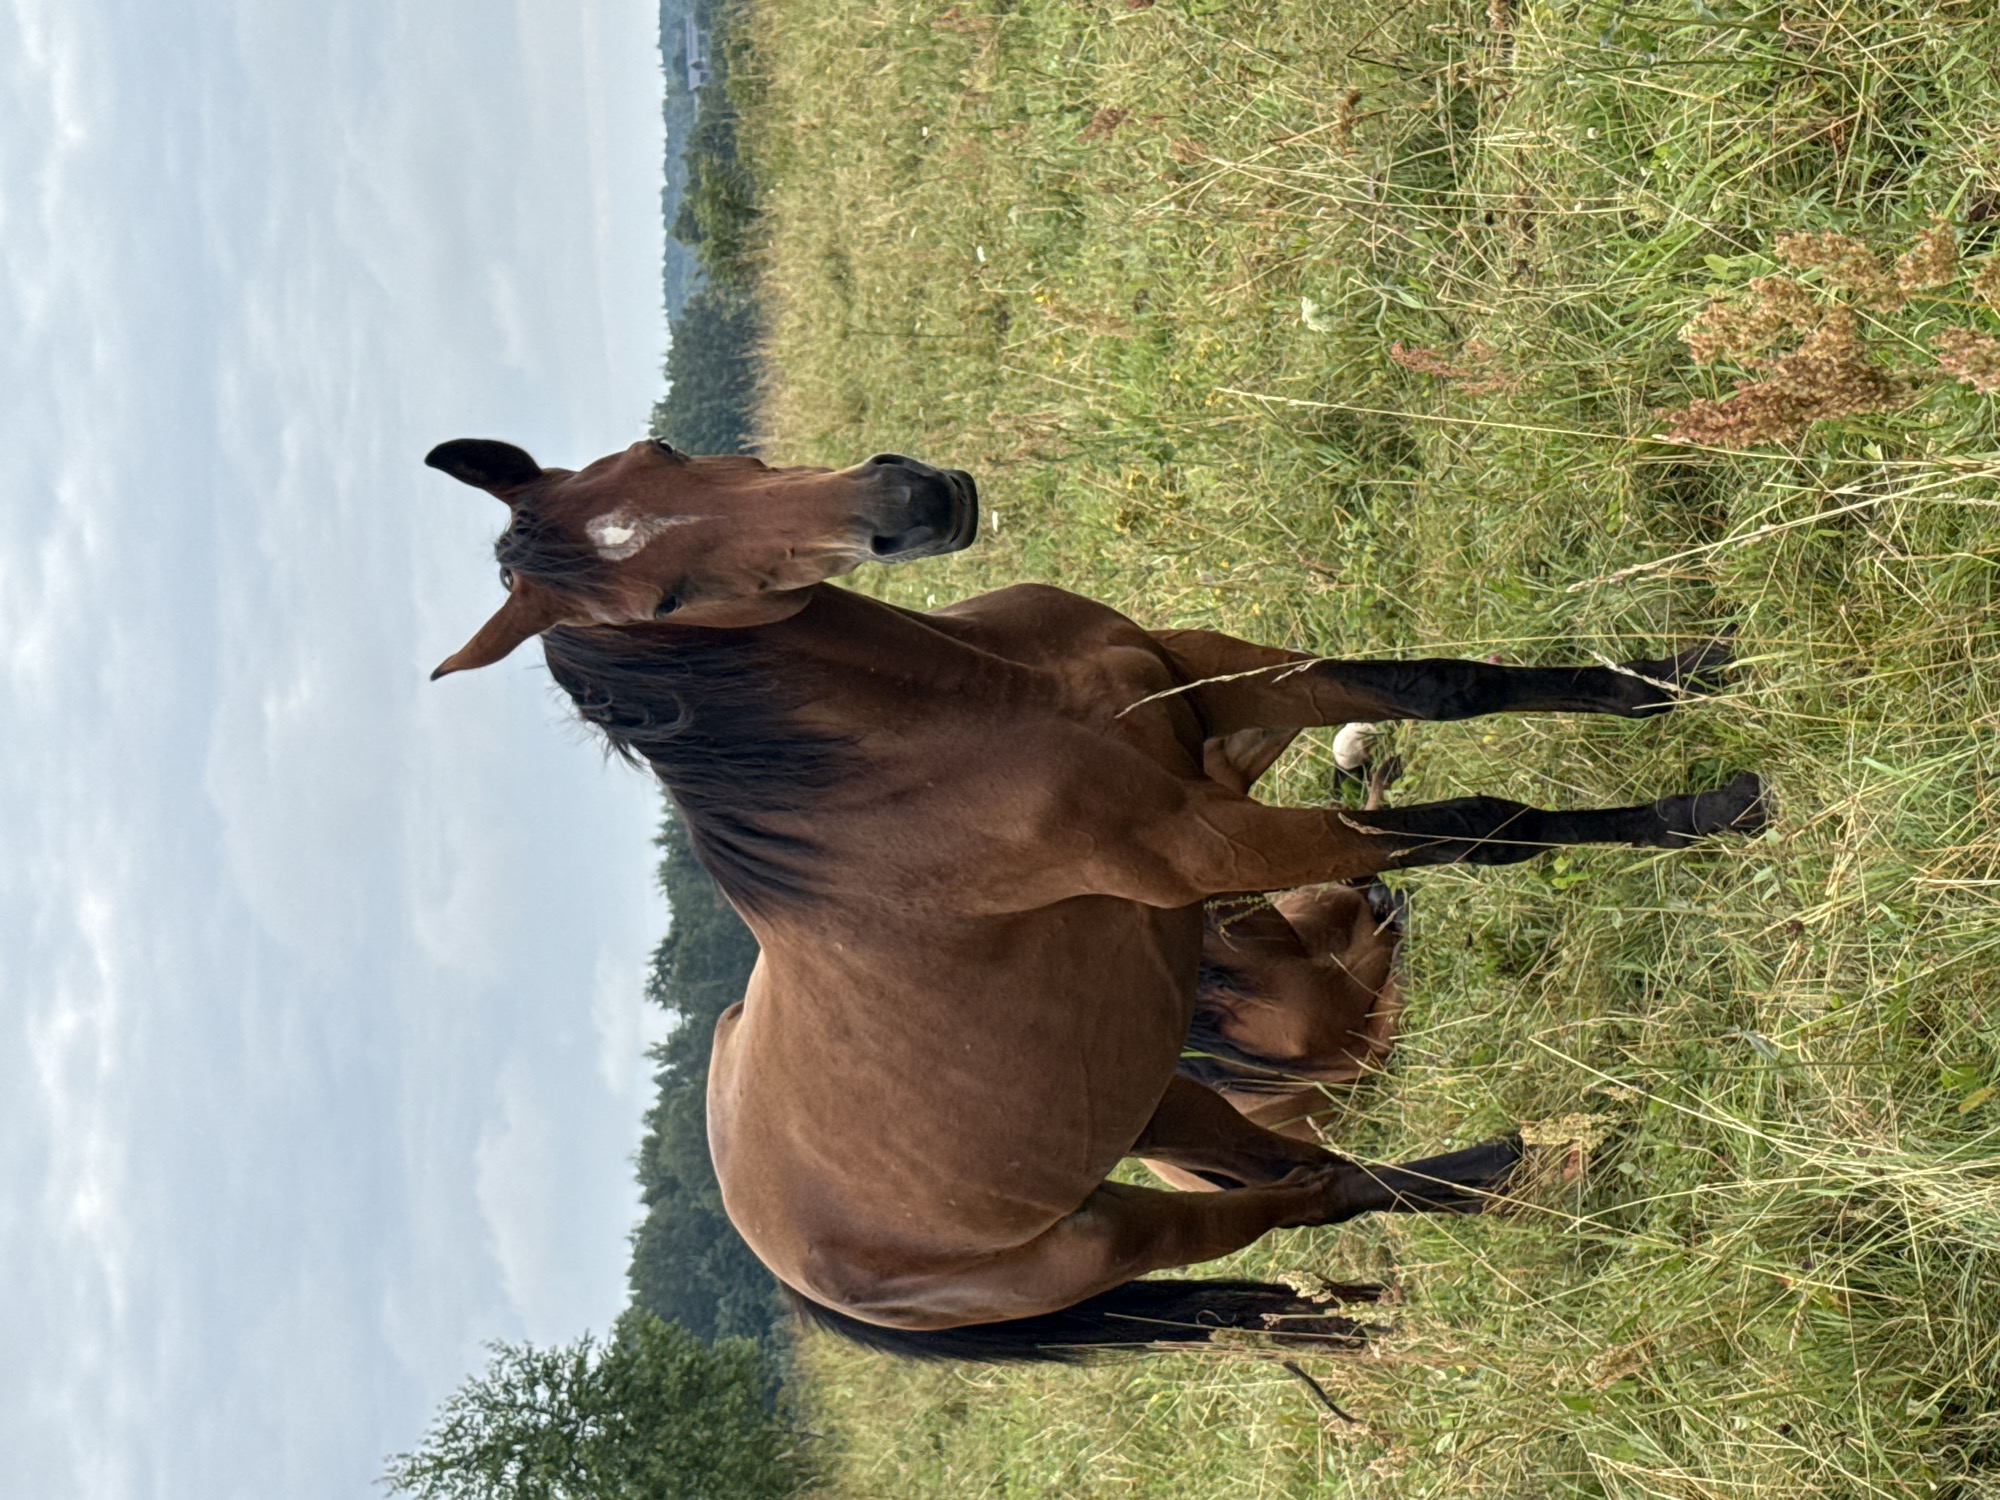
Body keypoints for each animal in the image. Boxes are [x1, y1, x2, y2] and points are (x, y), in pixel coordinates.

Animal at [426, 435, 1765, 1361]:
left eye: (659, 454)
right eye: (657, 601)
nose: (907, 503)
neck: (972, 722)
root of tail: (796, 1270)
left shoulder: (1208, 684)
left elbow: (1438, 684)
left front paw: (1680, 674)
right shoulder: (1212, 845)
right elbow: (1478, 828)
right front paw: (1711, 808)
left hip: (1158, 1098)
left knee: (1308, 1171)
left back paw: (1503, 1167)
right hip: (1116, 1233)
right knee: (1298, 1201)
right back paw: (1525, 1171)